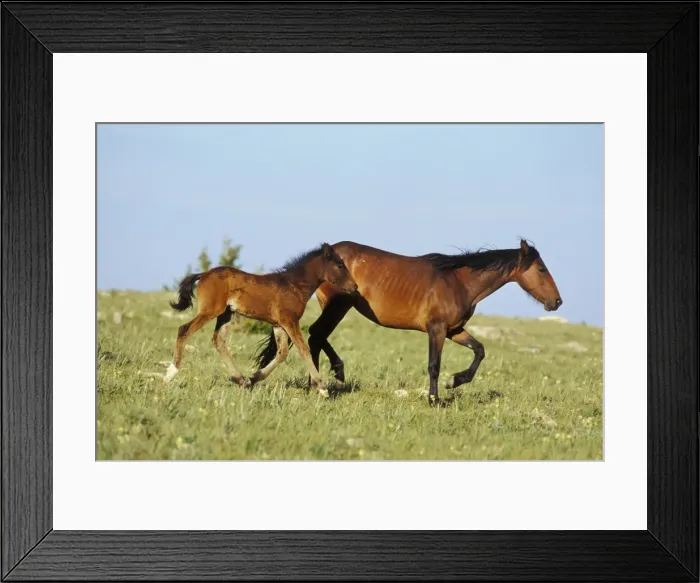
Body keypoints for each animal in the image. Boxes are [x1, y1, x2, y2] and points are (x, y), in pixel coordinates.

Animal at [163, 243, 358, 397]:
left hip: (225, 314)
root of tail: (203, 274)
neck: (294, 286)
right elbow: (304, 349)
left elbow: (282, 352)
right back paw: (169, 375)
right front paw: (322, 388)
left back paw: (241, 380)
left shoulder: (278, 324)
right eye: (340, 265)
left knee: (219, 340)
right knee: (184, 329)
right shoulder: (290, 321)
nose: (355, 286)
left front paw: (254, 378)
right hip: (210, 310)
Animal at [254, 239, 562, 406]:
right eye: (541, 269)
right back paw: (325, 379)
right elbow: (434, 365)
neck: (458, 282)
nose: (557, 302)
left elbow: (480, 350)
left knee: (317, 337)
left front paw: (456, 381)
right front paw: (435, 399)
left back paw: (319, 381)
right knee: (317, 334)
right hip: (338, 305)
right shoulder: (436, 329)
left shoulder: (454, 330)